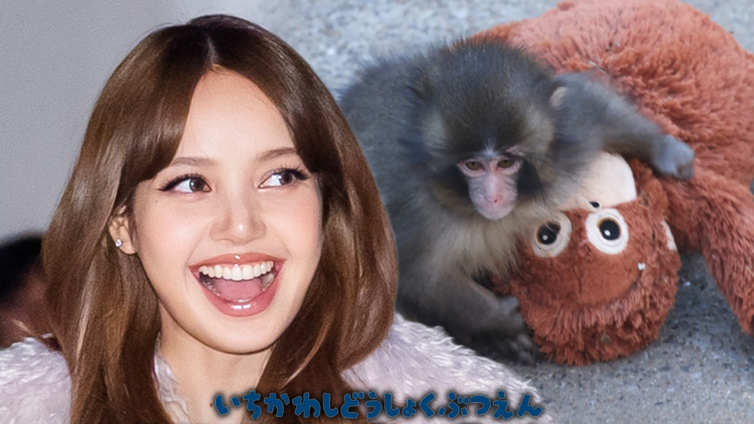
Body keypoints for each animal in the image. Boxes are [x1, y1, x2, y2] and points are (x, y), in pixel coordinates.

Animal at [338, 38, 694, 364]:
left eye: (506, 163)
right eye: (473, 165)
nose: (493, 196)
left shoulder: (567, 133)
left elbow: (593, 104)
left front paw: (666, 150)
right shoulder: (416, 211)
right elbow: (418, 274)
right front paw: (501, 319)